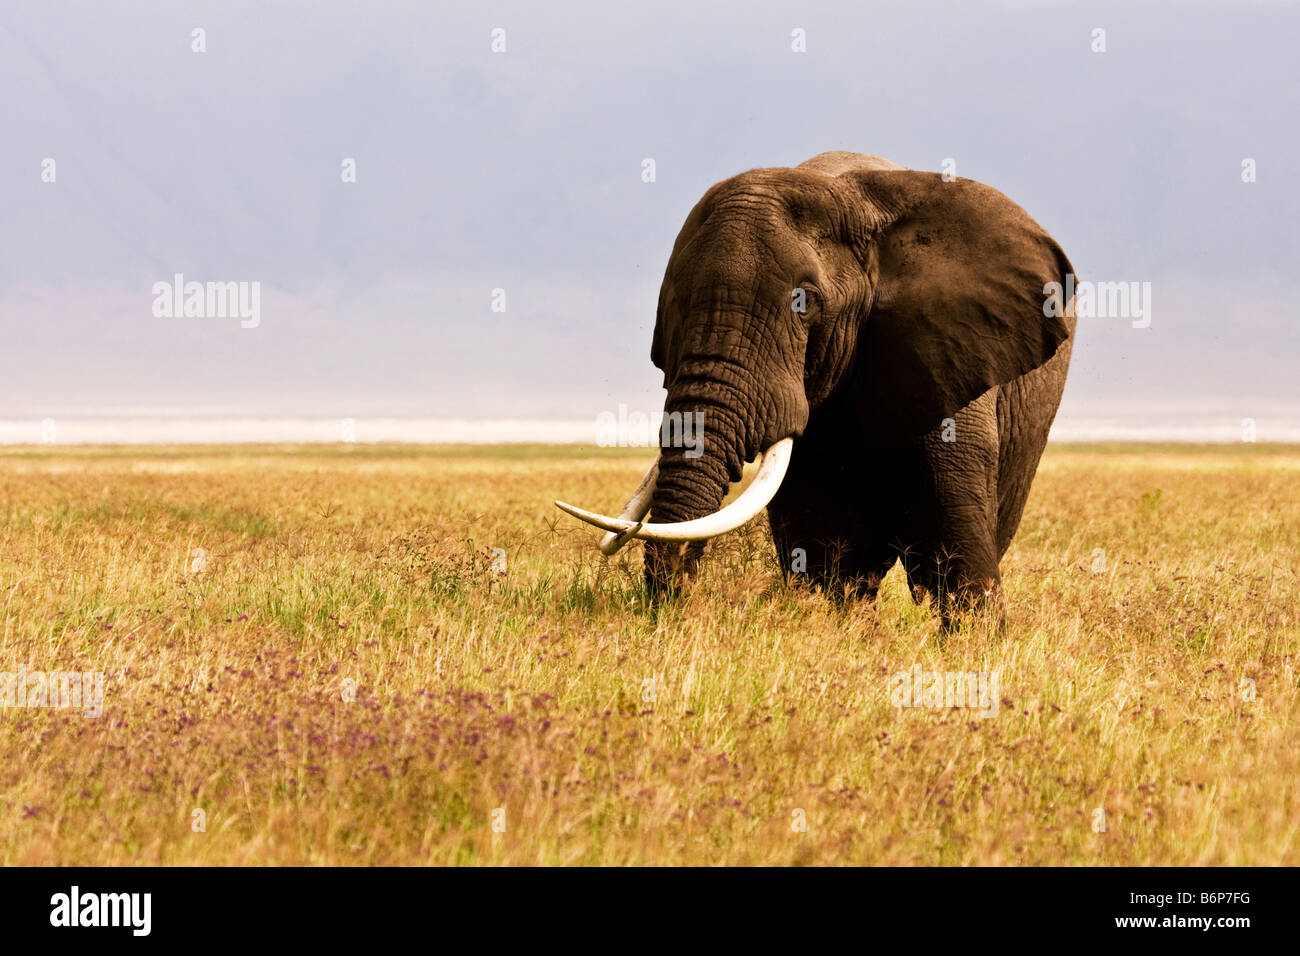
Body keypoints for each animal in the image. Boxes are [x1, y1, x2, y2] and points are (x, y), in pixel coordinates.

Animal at [559, 152, 1076, 624]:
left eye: (805, 305)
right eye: (671, 305)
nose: (672, 603)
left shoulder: (947, 351)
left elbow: (956, 544)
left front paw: (974, 639)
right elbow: (821, 549)